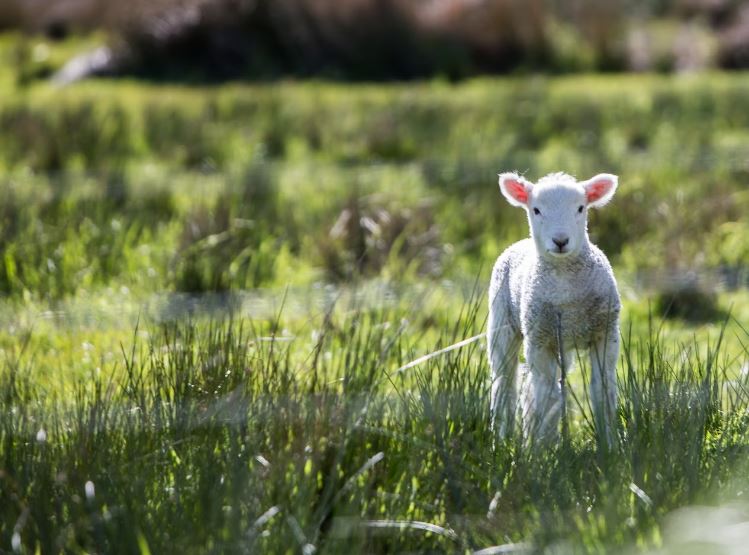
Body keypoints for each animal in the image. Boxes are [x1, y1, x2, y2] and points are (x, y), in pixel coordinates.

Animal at [486, 172, 620, 446]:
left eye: (580, 208)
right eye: (536, 210)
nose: (560, 241)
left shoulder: (605, 334)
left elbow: (603, 390)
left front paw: (610, 445)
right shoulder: (539, 340)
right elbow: (547, 397)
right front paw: (543, 448)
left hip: (561, 344)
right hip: (502, 324)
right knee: (505, 384)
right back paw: (502, 440)